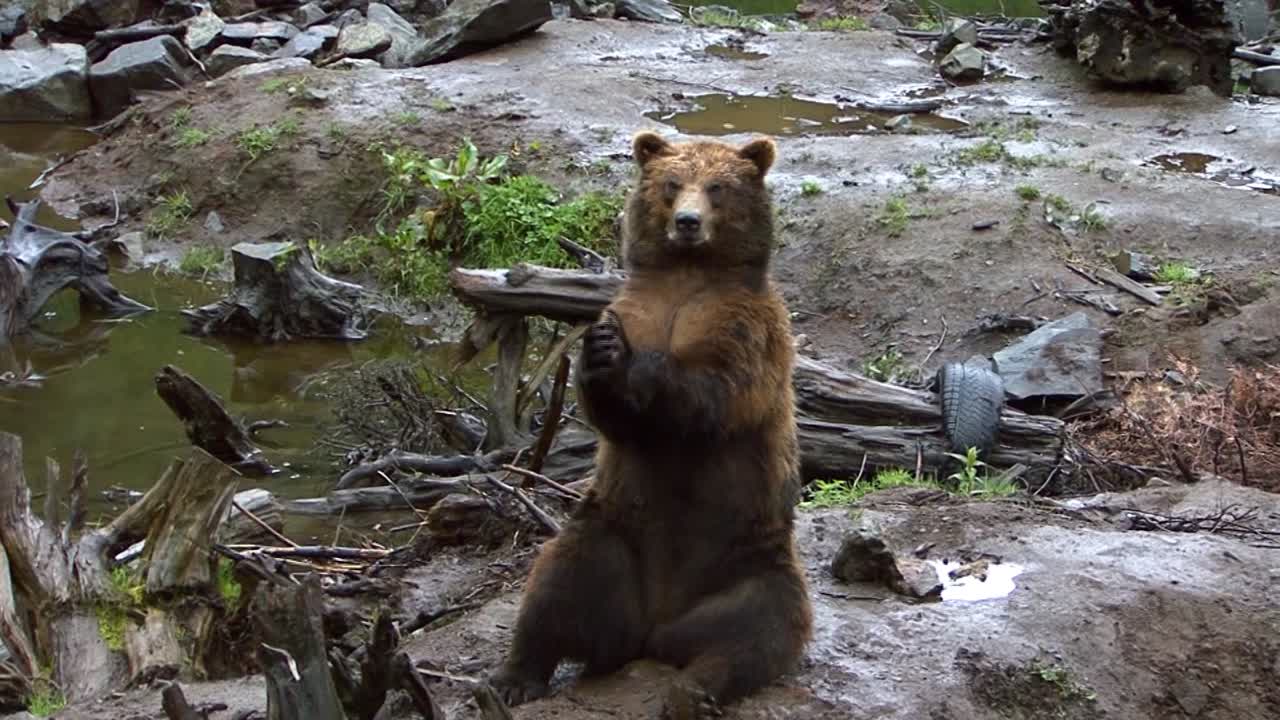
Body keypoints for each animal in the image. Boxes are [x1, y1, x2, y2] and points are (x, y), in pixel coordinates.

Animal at [489, 130, 812, 719]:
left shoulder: (747, 328)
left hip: (750, 559)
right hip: (612, 531)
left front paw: (634, 362)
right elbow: (613, 417)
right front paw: (600, 352)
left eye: (717, 187)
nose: (687, 222)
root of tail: (655, 629)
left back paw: (693, 691)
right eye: (671, 183)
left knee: (757, 629)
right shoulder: (633, 307)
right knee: (556, 582)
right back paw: (515, 676)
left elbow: (716, 395)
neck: (686, 277)